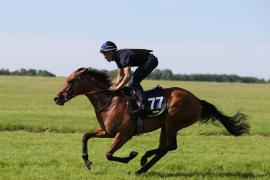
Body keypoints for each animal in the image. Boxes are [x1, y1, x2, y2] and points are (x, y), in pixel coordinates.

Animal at [53, 67, 250, 174]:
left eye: (70, 81)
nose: (56, 98)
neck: (110, 101)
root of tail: (197, 101)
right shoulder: (107, 132)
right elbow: (85, 136)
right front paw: (87, 162)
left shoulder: (124, 134)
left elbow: (109, 154)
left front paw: (131, 155)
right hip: (166, 126)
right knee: (166, 148)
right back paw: (143, 166)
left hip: (172, 122)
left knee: (169, 146)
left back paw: (142, 161)